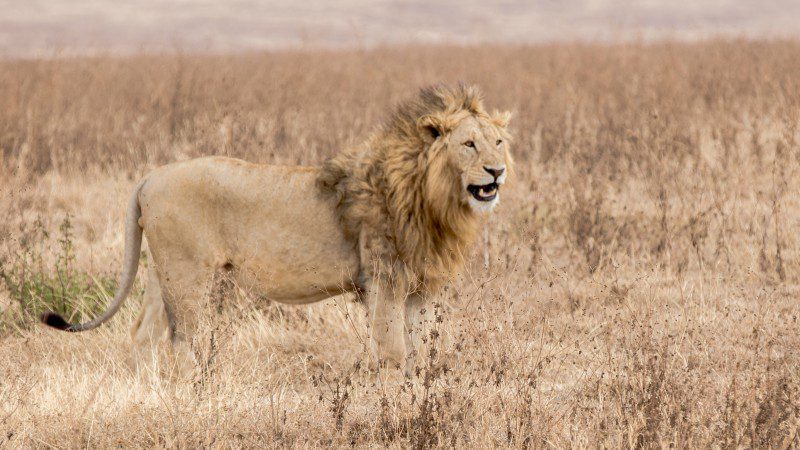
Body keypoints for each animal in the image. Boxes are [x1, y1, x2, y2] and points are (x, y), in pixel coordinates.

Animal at [41, 84, 512, 375]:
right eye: (469, 144)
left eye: (498, 142)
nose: (497, 171)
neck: (435, 198)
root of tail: (150, 176)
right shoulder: (384, 278)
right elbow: (394, 353)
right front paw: (396, 405)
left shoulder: (420, 287)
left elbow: (420, 351)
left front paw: (419, 392)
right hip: (188, 274)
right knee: (182, 339)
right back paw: (188, 395)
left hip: (164, 272)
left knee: (143, 334)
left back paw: (148, 394)